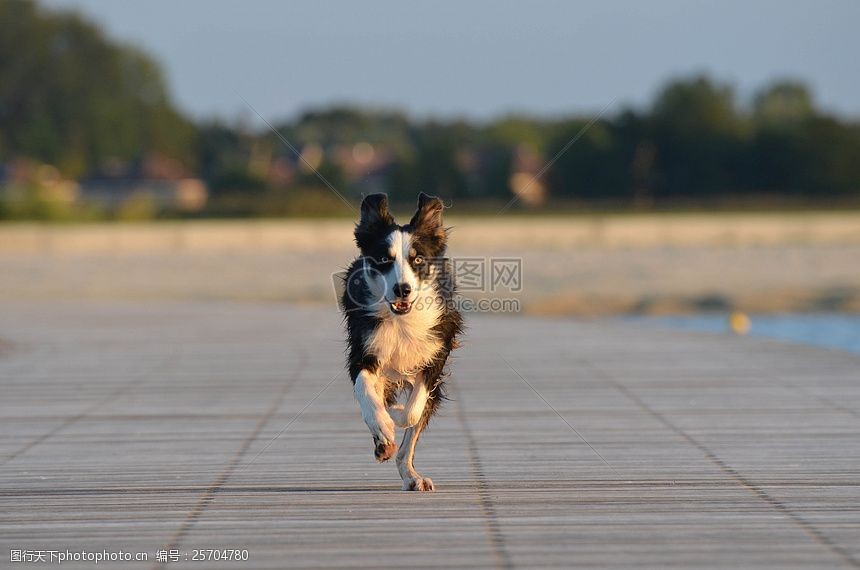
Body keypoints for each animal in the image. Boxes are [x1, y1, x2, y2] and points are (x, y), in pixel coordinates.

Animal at [342, 192, 464, 488]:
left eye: (417, 260)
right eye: (383, 259)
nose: (402, 289)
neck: (400, 320)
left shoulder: (438, 347)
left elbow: (413, 411)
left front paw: (396, 415)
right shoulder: (363, 350)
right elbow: (366, 390)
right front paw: (383, 424)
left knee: (409, 442)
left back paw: (412, 477)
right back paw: (384, 442)